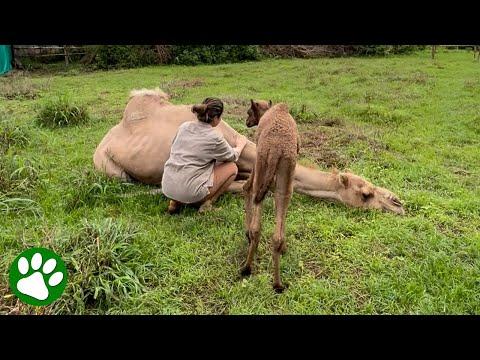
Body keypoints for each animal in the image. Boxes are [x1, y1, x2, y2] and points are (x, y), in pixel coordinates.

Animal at [242, 99, 298, 292]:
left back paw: (246, 268)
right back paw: (278, 284)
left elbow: (246, 188)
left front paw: (246, 233)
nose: (247, 122)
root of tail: (276, 150)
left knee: (256, 222)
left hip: (261, 164)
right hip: (286, 176)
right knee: (277, 234)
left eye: (249, 111)